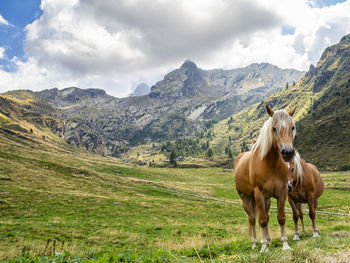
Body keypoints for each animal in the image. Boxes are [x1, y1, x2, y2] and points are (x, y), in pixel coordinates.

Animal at [235, 104, 296, 253]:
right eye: (274, 128)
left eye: (292, 127)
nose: (287, 153)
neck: (271, 164)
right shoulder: (258, 193)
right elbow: (261, 220)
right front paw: (263, 248)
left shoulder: (281, 192)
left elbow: (281, 218)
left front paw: (285, 244)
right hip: (246, 198)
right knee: (252, 219)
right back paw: (255, 243)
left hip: (267, 199)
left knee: (266, 216)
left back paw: (268, 241)